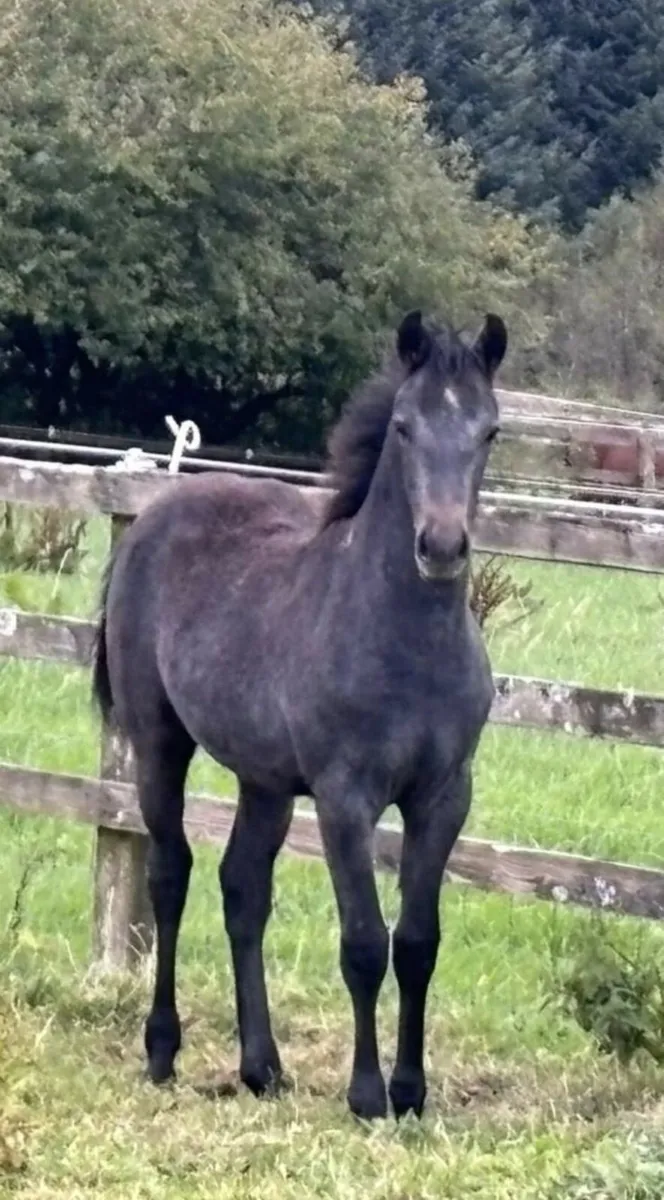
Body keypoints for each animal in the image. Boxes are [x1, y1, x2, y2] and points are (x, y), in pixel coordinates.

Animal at [92, 308, 507, 1120]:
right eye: (404, 427)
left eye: (489, 431)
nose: (442, 546)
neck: (405, 639)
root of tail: (152, 517)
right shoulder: (346, 799)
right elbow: (364, 942)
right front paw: (368, 1094)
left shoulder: (445, 797)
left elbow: (418, 941)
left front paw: (411, 1091)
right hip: (159, 744)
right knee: (171, 873)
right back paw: (162, 1048)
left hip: (266, 781)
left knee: (243, 890)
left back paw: (262, 1067)